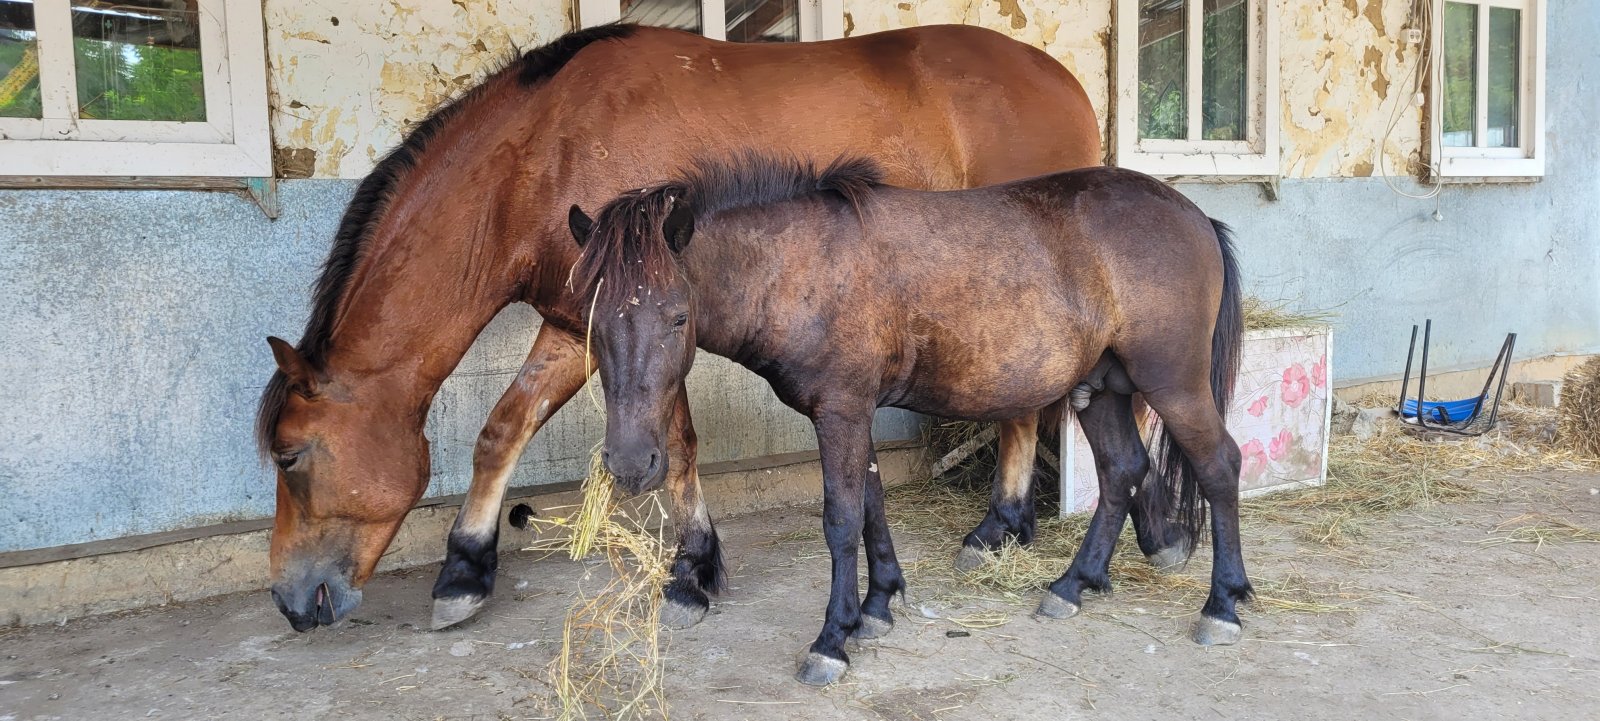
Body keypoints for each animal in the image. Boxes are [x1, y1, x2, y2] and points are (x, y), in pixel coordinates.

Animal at [254, 22, 1187, 635]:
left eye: (291, 456)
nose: (294, 605)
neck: (543, 150)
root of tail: (1063, 79)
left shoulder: (631, 326)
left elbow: (672, 444)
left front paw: (694, 568)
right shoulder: (579, 324)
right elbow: (501, 431)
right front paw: (465, 568)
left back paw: (1040, 527)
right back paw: (1025, 525)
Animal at [567, 153, 1249, 685]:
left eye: (678, 316)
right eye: (592, 323)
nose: (630, 464)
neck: (801, 265)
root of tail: (1196, 217)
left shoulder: (841, 410)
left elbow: (842, 519)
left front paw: (832, 640)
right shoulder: (852, 412)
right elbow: (871, 504)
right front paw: (877, 606)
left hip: (1173, 385)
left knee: (1219, 466)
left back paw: (1222, 606)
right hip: (1102, 389)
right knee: (1121, 471)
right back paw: (1072, 586)